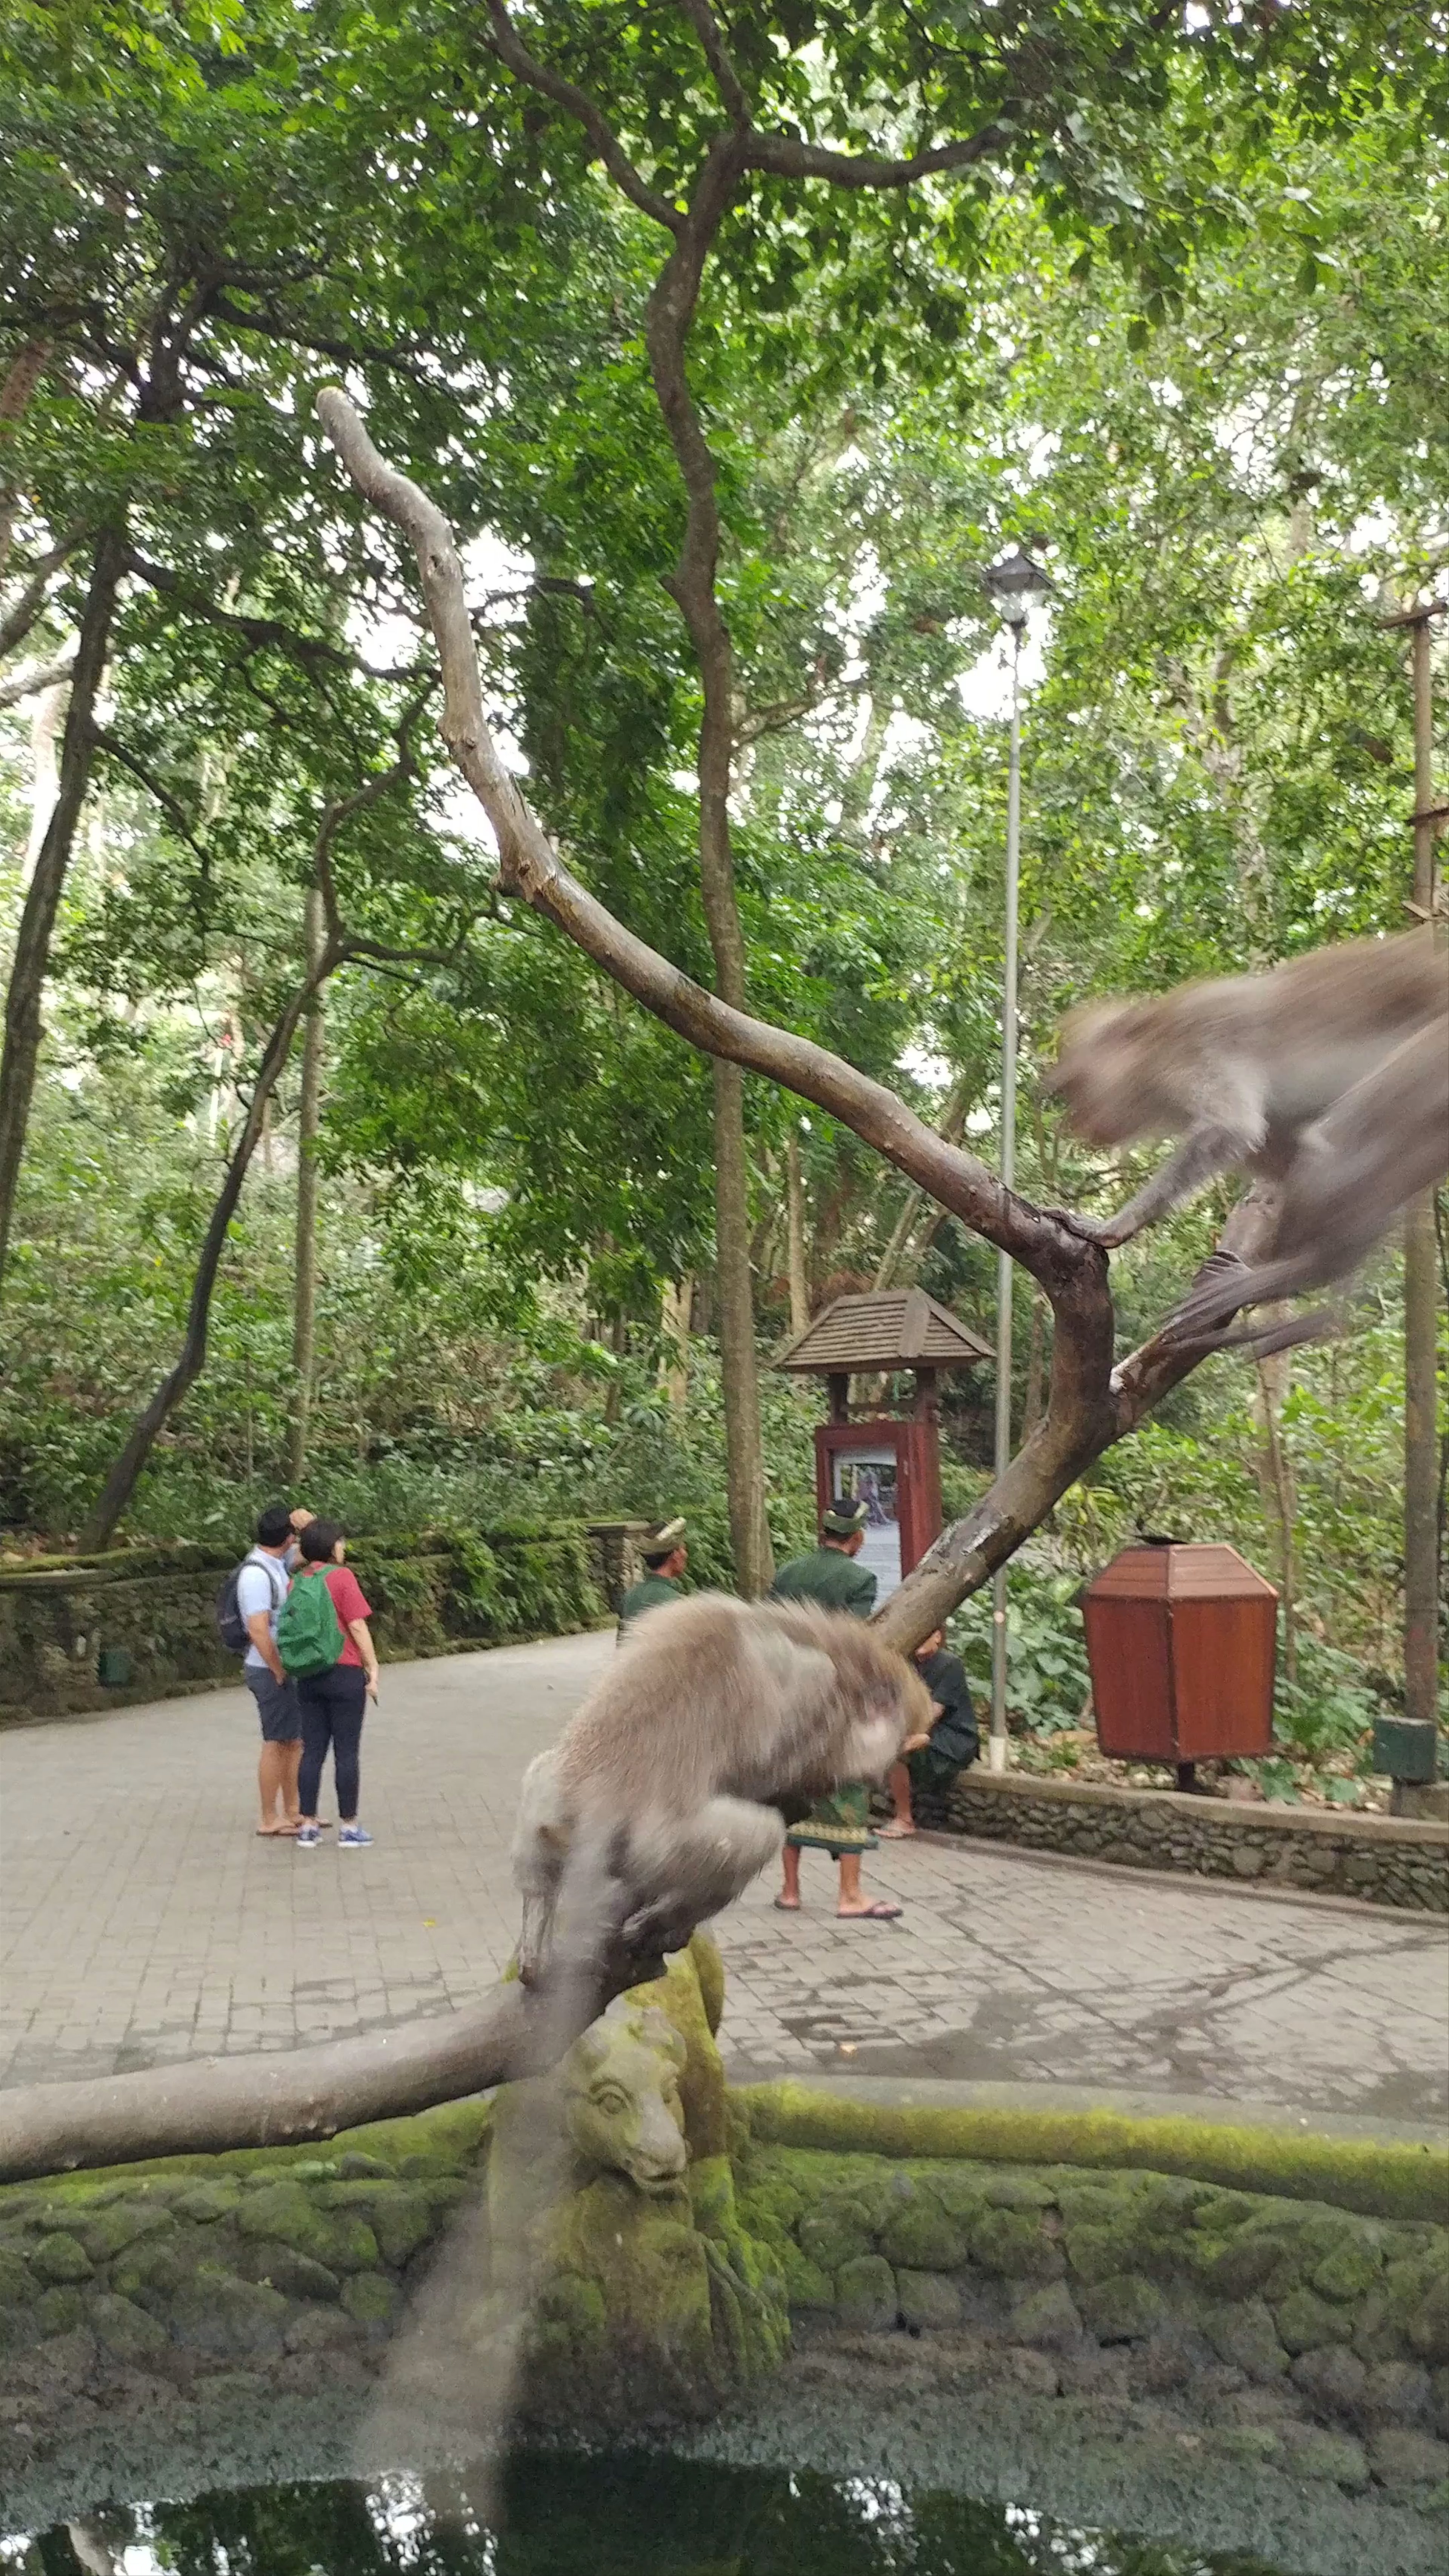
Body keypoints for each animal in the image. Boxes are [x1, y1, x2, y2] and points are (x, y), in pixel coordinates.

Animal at [511, 1591, 933, 1991]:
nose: (881, 1780)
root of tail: (602, 1798)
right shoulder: (815, 1688)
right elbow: (772, 1764)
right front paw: (805, 1784)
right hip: (667, 1844)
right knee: (760, 1834)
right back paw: (666, 1920)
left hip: (557, 1800)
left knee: (540, 1779)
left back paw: (536, 1919)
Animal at [1043, 933, 1448, 1250]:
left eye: (1075, 1086)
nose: (1074, 1123)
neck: (1152, 1052)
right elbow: (1276, 1150)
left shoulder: (1198, 1048)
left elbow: (1232, 1128)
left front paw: (1114, 1227)